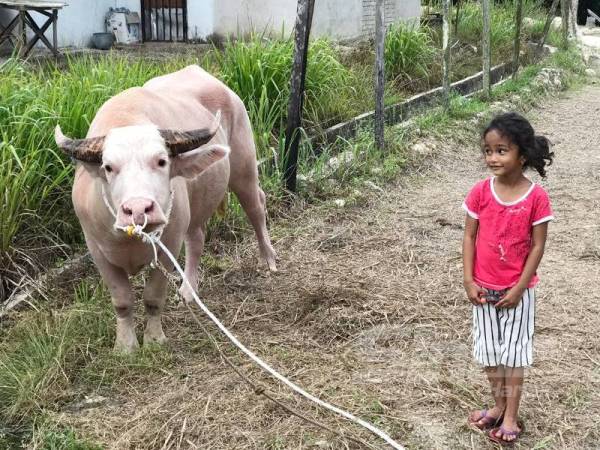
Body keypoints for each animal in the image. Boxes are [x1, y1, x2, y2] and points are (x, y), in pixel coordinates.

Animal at [54, 65, 276, 354]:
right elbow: (122, 301)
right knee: (197, 238)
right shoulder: (97, 251)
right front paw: (125, 345)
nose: (138, 209)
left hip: (244, 168)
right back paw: (189, 289)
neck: (131, 240)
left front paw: (153, 340)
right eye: (108, 167)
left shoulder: (169, 244)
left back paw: (268, 259)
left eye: (161, 161)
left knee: (256, 207)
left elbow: (153, 296)